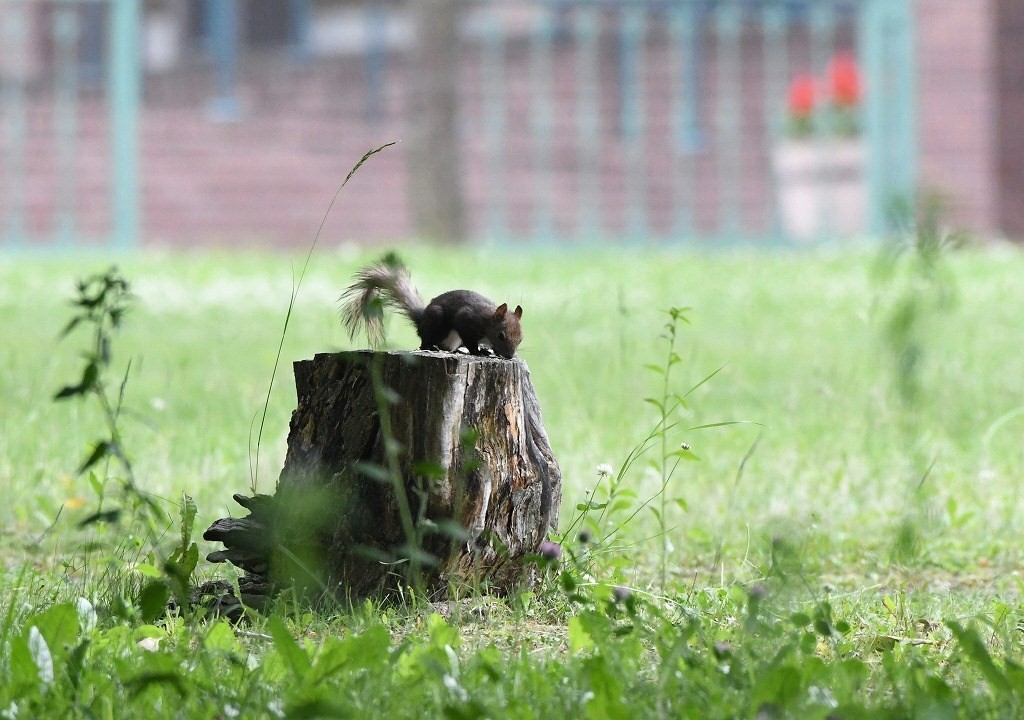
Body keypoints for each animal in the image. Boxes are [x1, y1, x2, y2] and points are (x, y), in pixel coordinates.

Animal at [339, 260, 524, 358]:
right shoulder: (466, 320)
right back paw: (431, 347)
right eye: (501, 335)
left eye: (521, 338)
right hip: (436, 322)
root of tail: (421, 320)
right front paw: (477, 352)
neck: (486, 321)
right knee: (424, 342)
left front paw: (484, 349)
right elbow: (470, 340)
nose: (509, 356)